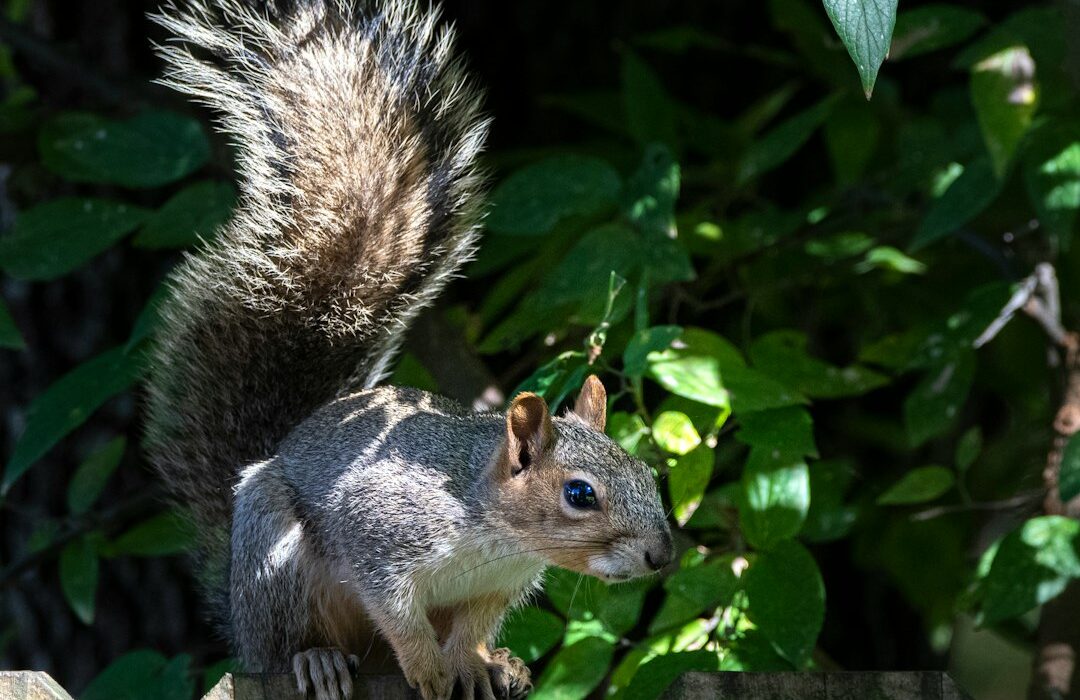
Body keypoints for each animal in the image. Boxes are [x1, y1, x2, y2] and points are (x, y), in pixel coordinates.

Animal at [144, 1, 674, 699]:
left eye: (647, 473)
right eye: (580, 494)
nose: (663, 555)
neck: (495, 531)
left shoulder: (494, 590)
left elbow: (470, 628)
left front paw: (472, 662)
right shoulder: (381, 535)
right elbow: (397, 614)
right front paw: (426, 668)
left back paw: (499, 664)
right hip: (274, 564)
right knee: (290, 641)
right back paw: (315, 660)